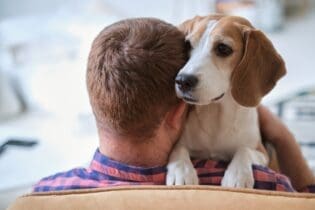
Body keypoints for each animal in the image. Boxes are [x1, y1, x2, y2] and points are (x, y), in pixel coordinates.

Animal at [167, 15, 288, 189]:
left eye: (223, 48)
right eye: (188, 44)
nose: (183, 81)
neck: (216, 114)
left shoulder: (262, 153)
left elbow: (244, 150)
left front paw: (237, 175)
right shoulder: (180, 143)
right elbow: (178, 150)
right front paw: (181, 171)